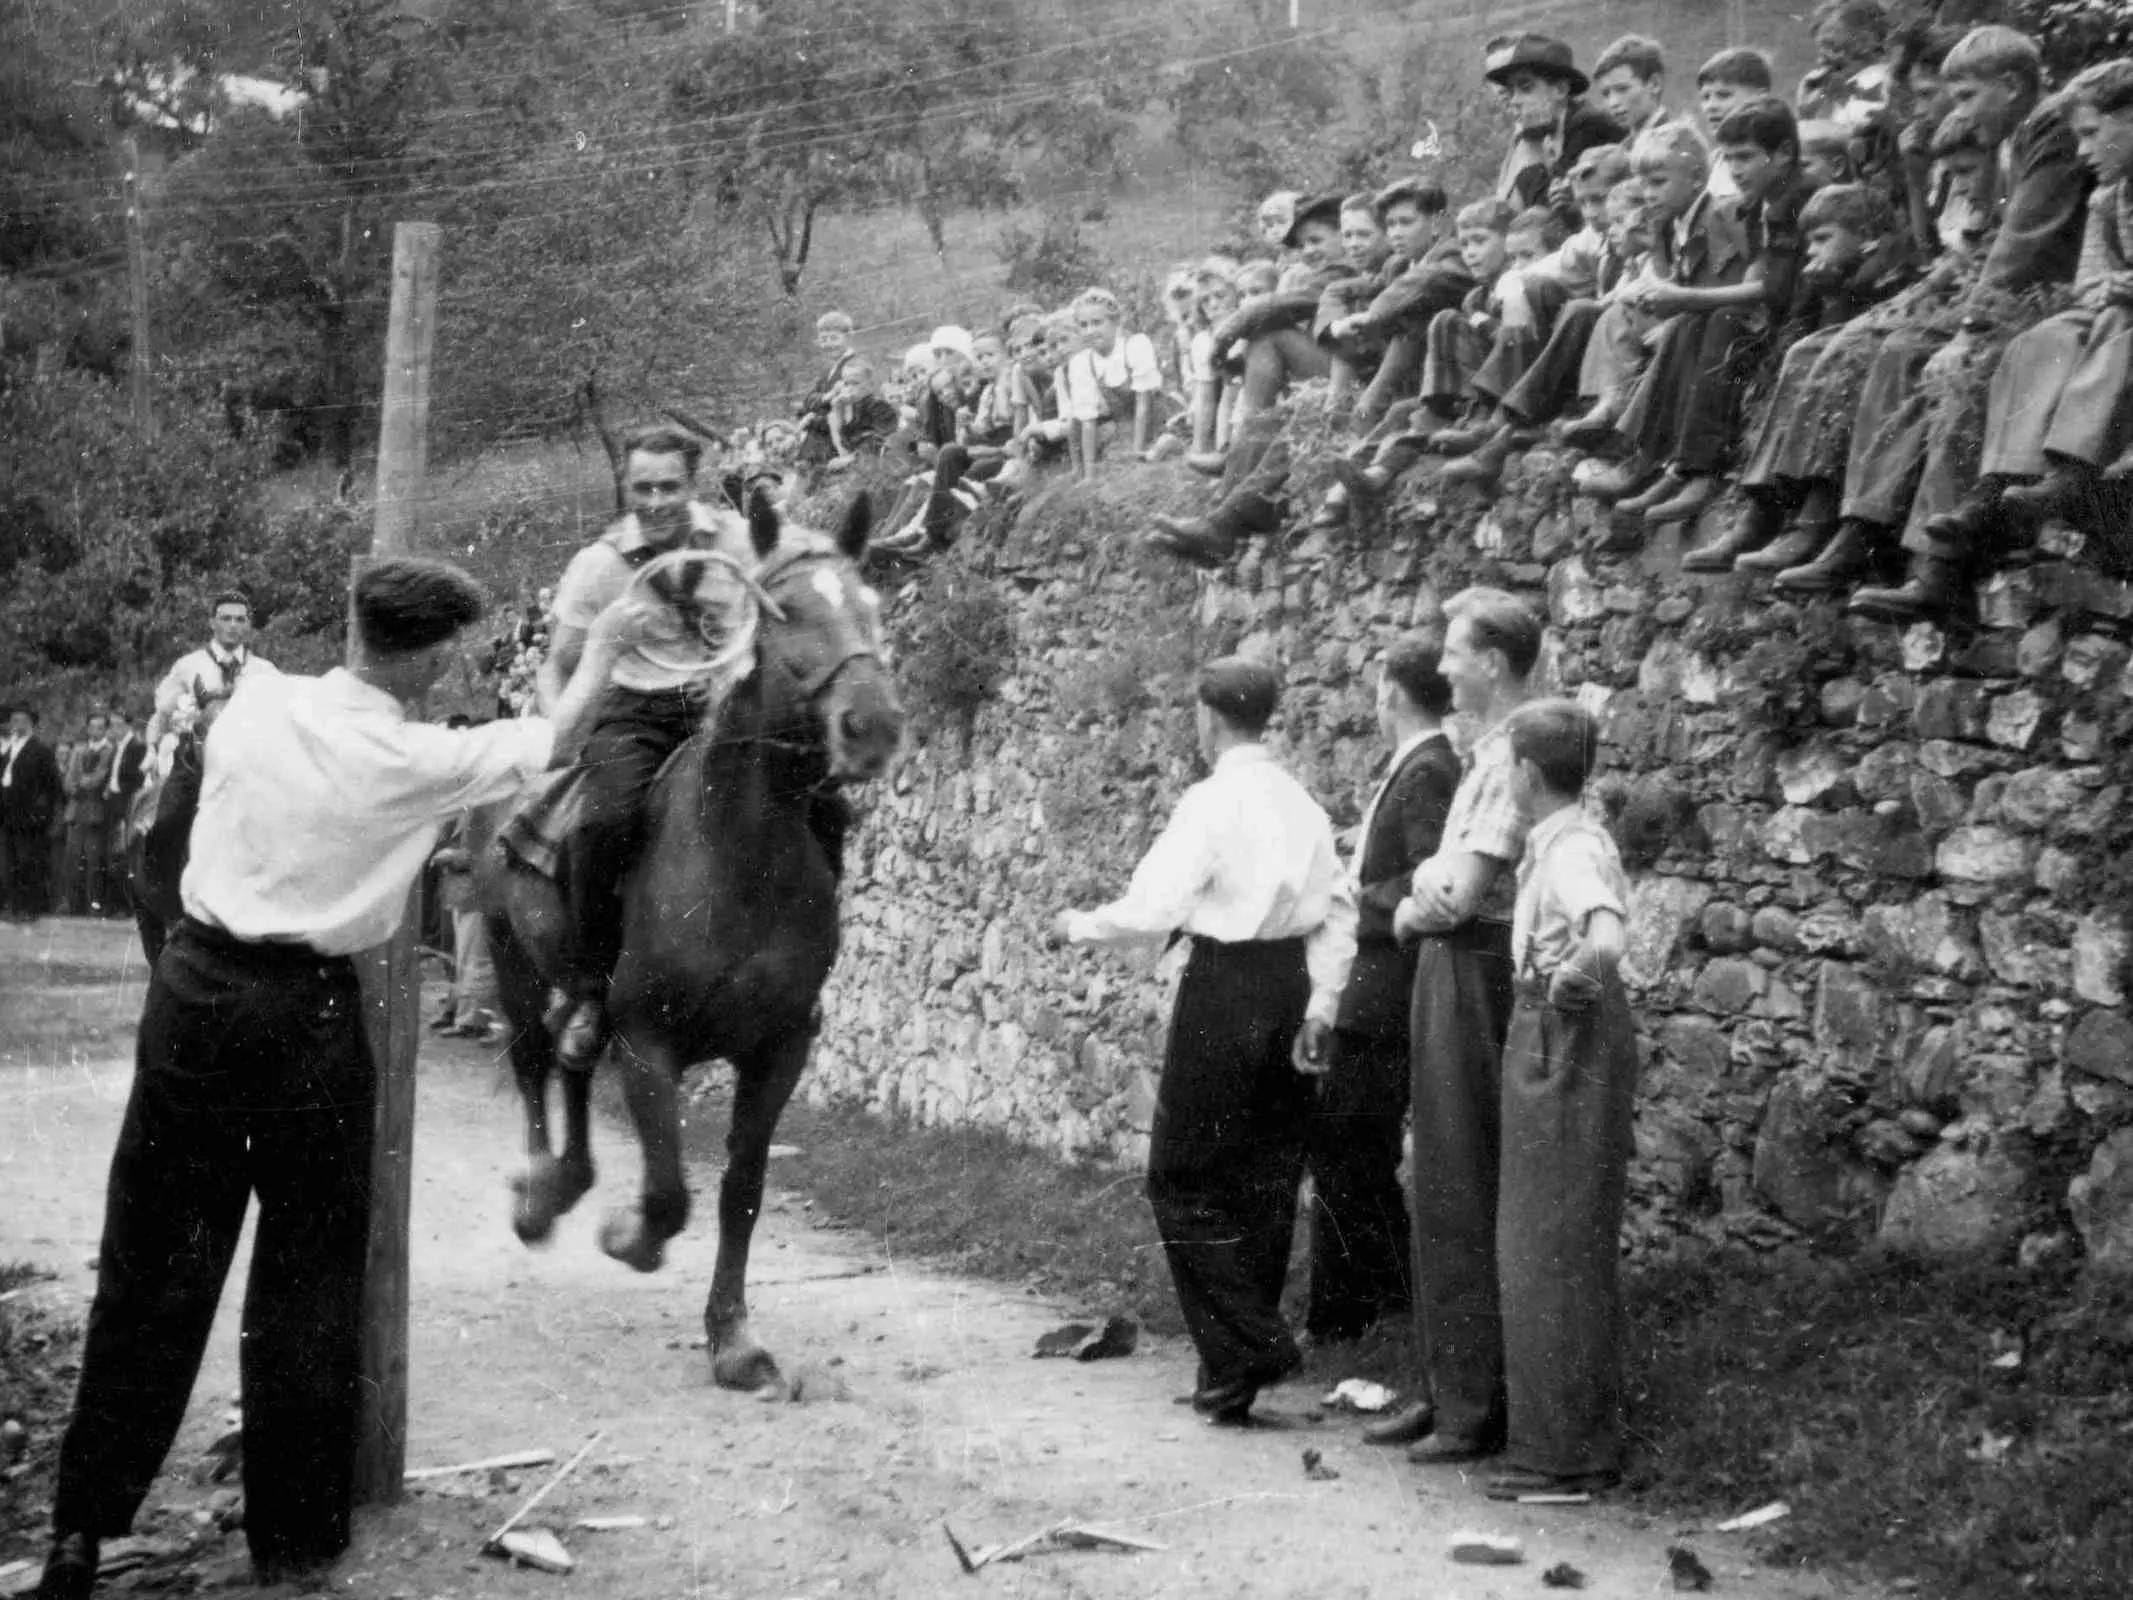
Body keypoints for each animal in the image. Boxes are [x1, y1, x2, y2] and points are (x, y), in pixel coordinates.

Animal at [479, 499, 904, 1390]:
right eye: (785, 612)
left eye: (872, 606)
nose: (873, 726)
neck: (739, 859)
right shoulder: (649, 1041)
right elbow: (671, 1191)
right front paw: (628, 1237)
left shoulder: (779, 1048)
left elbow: (740, 1188)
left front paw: (733, 1338)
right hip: (509, 960)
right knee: (534, 1063)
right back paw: (539, 1197)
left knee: (571, 1058)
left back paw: (570, 1179)